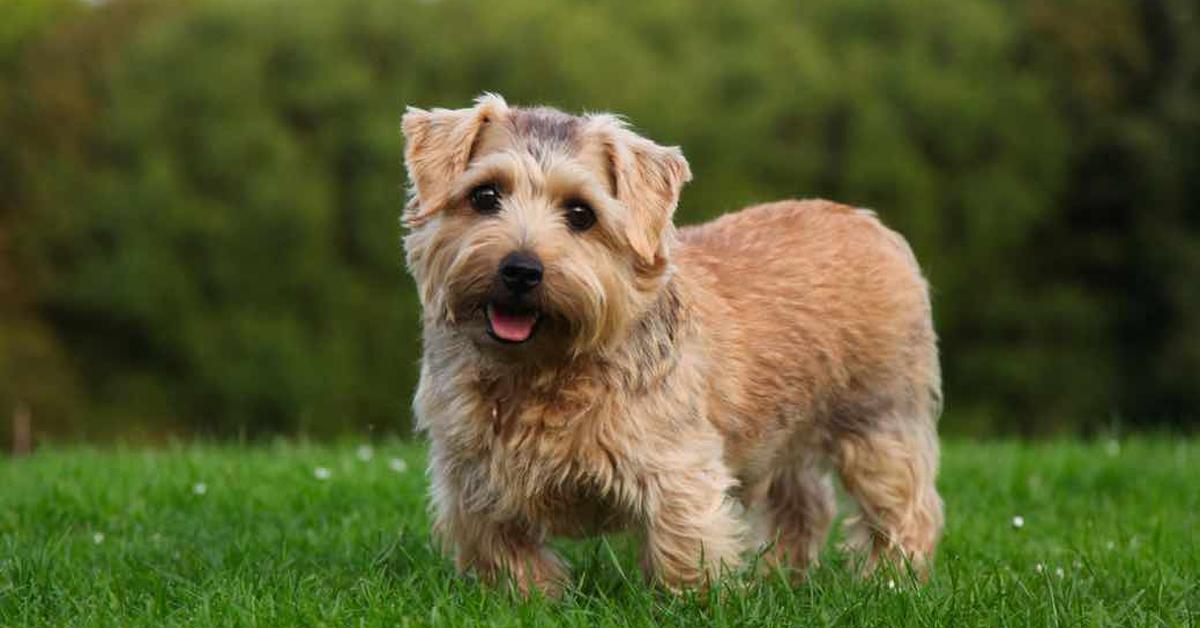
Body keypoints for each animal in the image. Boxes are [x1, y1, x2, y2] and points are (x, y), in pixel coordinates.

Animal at [403, 93, 945, 595]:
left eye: (581, 213)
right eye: (485, 195)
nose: (520, 269)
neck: (539, 371)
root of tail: (869, 222)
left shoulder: (676, 470)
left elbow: (685, 547)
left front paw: (693, 601)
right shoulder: (472, 483)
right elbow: (506, 555)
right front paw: (529, 599)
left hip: (878, 419)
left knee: (906, 505)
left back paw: (889, 580)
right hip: (785, 430)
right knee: (805, 503)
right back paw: (778, 577)